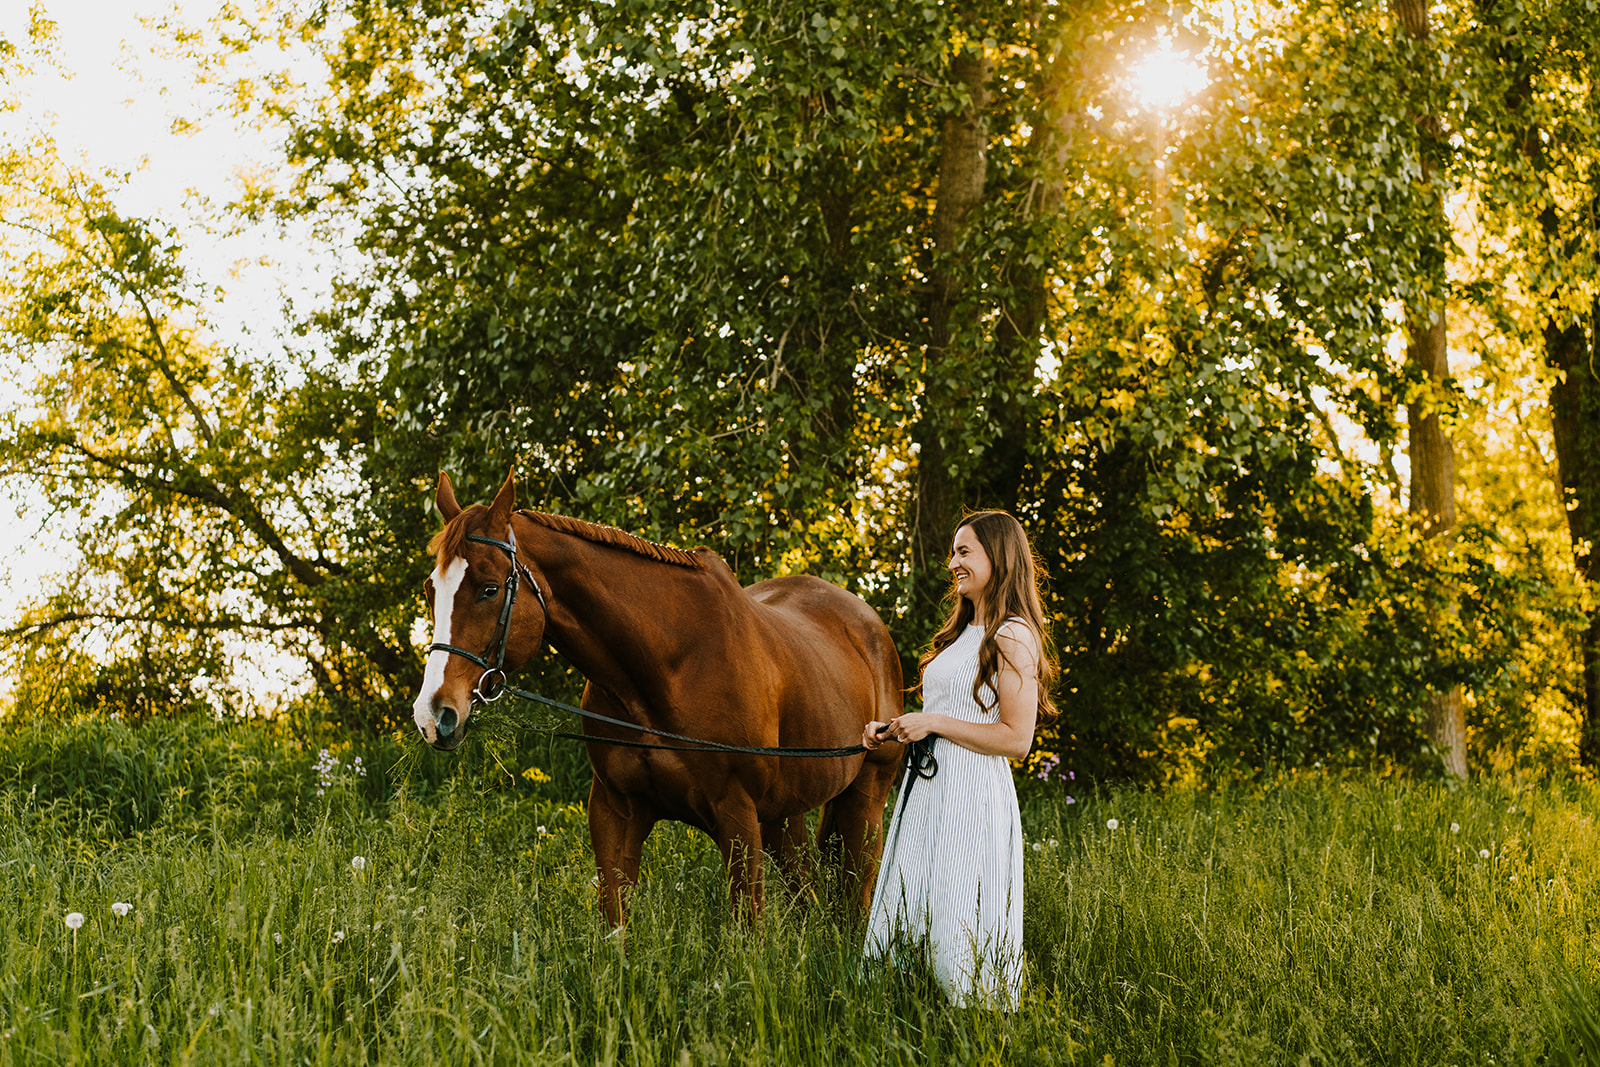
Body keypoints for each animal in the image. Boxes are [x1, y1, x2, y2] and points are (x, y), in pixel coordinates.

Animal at [412, 470, 908, 921]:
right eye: (431, 589)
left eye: (489, 588)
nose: (433, 714)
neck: (667, 669)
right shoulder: (615, 811)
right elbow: (615, 927)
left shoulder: (737, 814)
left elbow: (748, 931)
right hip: (784, 814)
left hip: (864, 800)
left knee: (856, 898)